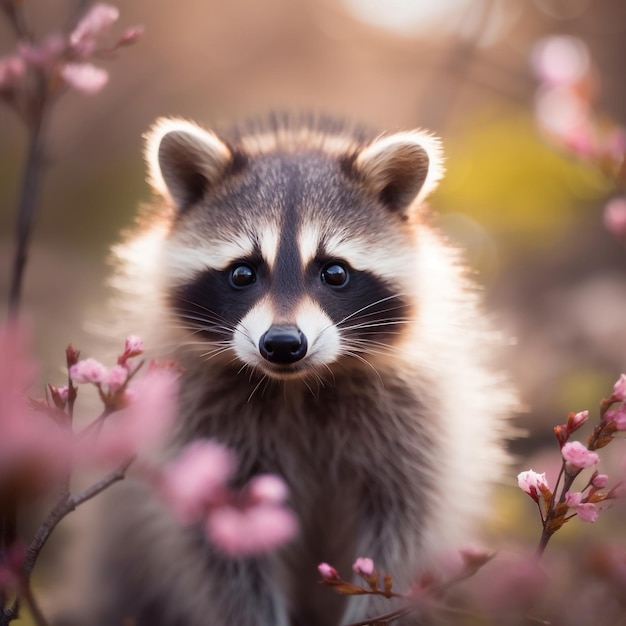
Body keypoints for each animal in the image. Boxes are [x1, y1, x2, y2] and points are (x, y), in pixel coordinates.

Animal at [89, 116, 512, 624]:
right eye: (242, 273)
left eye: (335, 272)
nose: (283, 344)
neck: (295, 386)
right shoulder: (197, 425)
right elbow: (222, 557)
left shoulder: (416, 420)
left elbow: (406, 531)